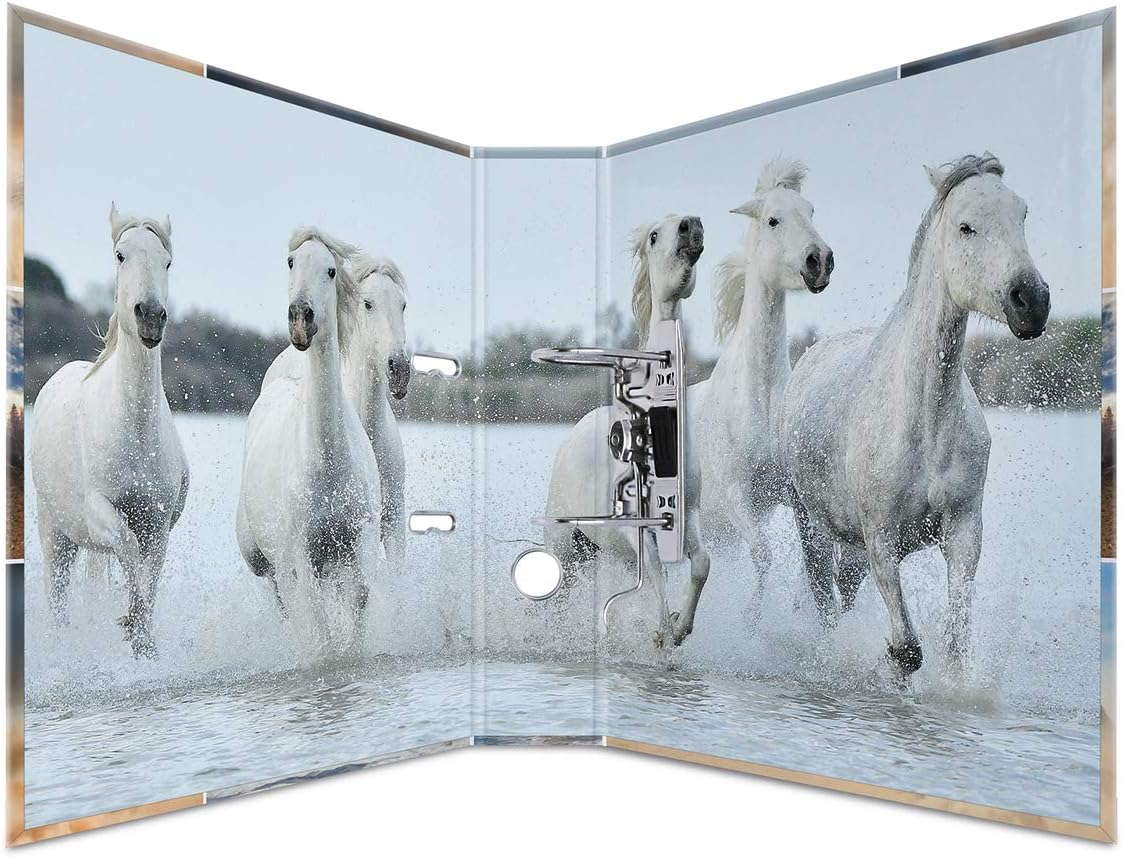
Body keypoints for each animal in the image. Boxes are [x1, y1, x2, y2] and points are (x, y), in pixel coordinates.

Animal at [29, 204, 189, 658]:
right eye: (120, 255)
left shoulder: (157, 522)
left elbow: (148, 576)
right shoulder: (100, 510)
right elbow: (128, 550)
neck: (135, 431)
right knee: (58, 600)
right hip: (56, 535)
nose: (150, 316)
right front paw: (129, 622)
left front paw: (141, 638)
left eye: (167, 261)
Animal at [236, 228, 380, 640]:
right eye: (290, 262)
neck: (329, 462)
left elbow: (357, 599)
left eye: (331, 270)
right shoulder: (300, 557)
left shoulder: (355, 545)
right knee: (281, 597)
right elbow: (315, 622)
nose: (301, 318)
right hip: (262, 558)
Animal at [544, 214, 705, 648]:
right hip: (565, 547)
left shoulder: (689, 516)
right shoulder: (640, 533)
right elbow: (658, 573)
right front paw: (663, 636)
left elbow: (700, 565)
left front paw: (680, 628)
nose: (692, 226)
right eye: (654, 236)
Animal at [676, 158, 833, 642]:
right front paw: (750, 623)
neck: (759, 402)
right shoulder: (737, 496)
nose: (820, 261)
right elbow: (764, 555)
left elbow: (811, 559)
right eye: (773, 220)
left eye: (812, 211)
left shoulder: (794, 496)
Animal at [780, 153, 1050, 677]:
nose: (1031, 300)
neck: (924, 422)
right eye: (966, 226)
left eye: (1023, 214)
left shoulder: (963, 530)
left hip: (850, 550)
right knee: (825, 604)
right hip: (814, 530)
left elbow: (955, 641)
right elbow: (907, 650)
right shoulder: (881, 538)